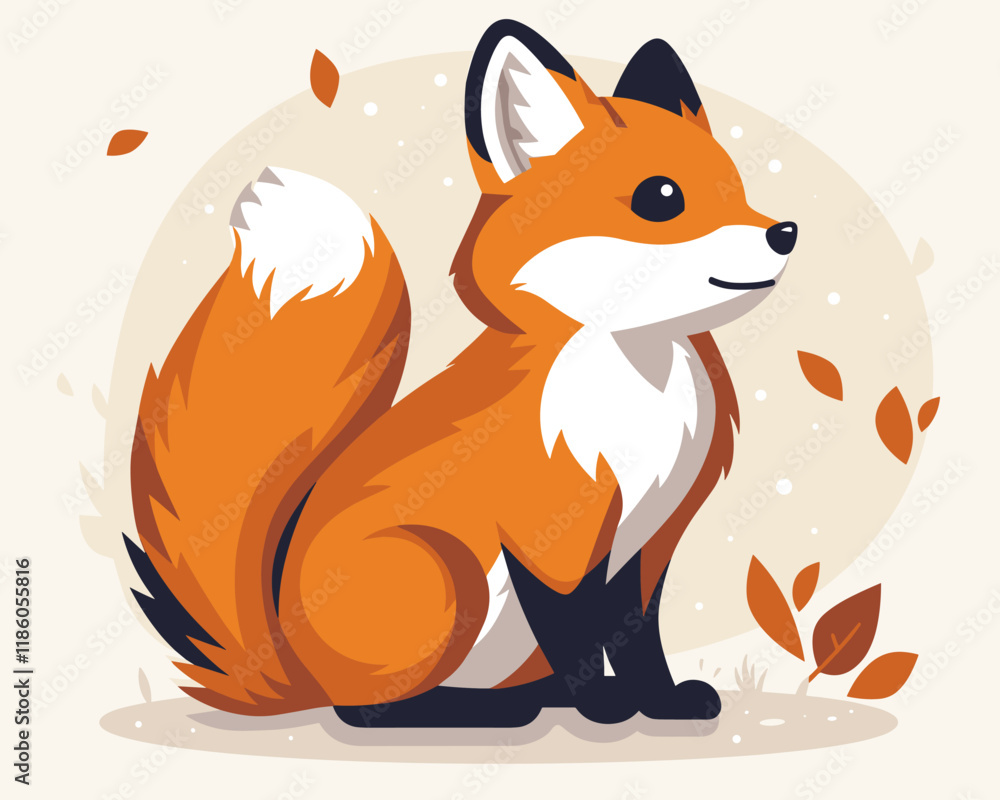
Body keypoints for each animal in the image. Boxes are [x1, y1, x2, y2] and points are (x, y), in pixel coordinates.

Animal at [126, 19, 797, 727]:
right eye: (661, 198)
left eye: (736, 189)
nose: (784, 232)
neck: (638, 386)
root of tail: (292, 667)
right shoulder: (551, 538)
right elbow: (576, 634)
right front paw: (605, 706)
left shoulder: (649, 543)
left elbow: (638, 636)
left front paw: (661, 702)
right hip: (444, 573)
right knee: (366, 710)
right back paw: (483, 711)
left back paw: (531, 698)